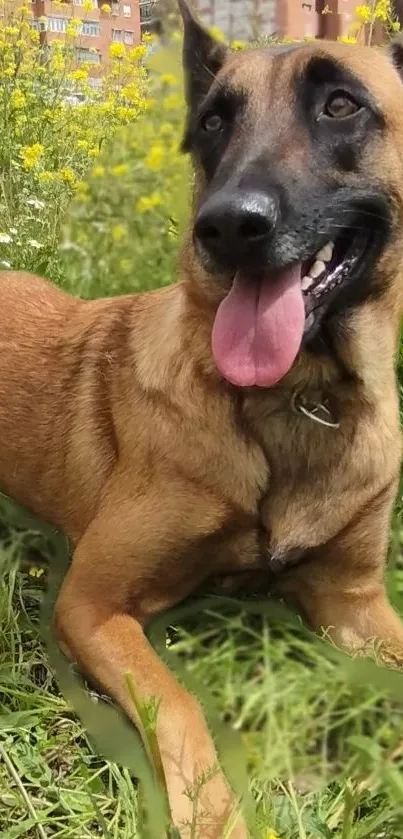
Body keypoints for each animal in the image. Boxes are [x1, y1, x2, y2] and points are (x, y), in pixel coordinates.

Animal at [2, 3, 403, 836]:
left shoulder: (353, 602)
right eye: (214, 120)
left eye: (340, 105)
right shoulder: (91, 602)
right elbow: (181, 706)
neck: (298, 398)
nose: (224, 228)